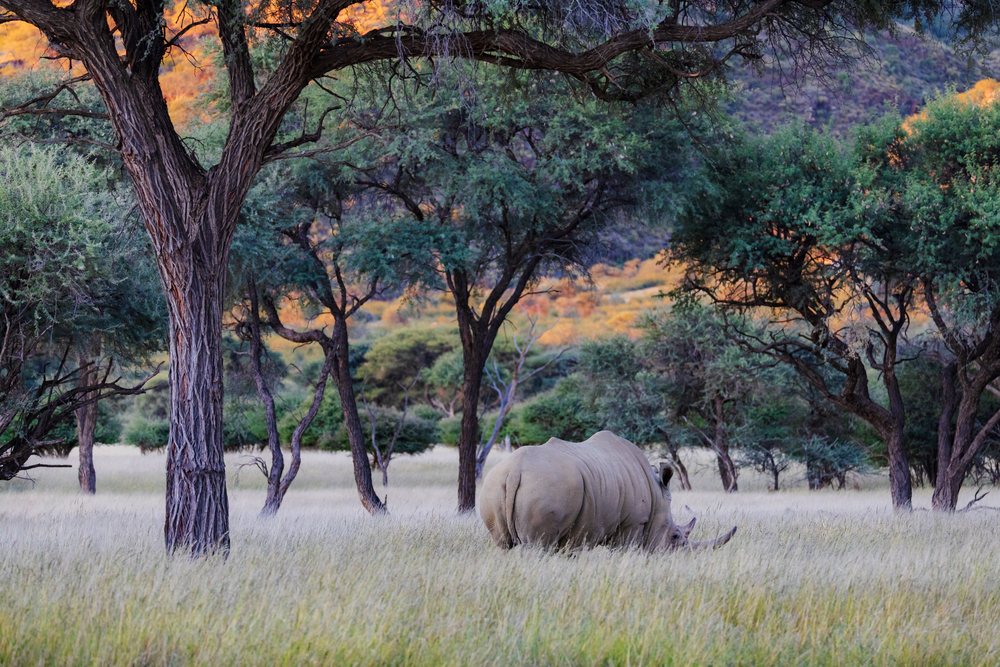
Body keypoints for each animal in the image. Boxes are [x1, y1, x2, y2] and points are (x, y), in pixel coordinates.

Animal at [479, 430, 736, 551]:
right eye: (675, 536)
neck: (657, 495)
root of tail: (515, 471)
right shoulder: (633, 523)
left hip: (494, 484)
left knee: (503, 544)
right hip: (546, 487)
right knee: (537, 546)